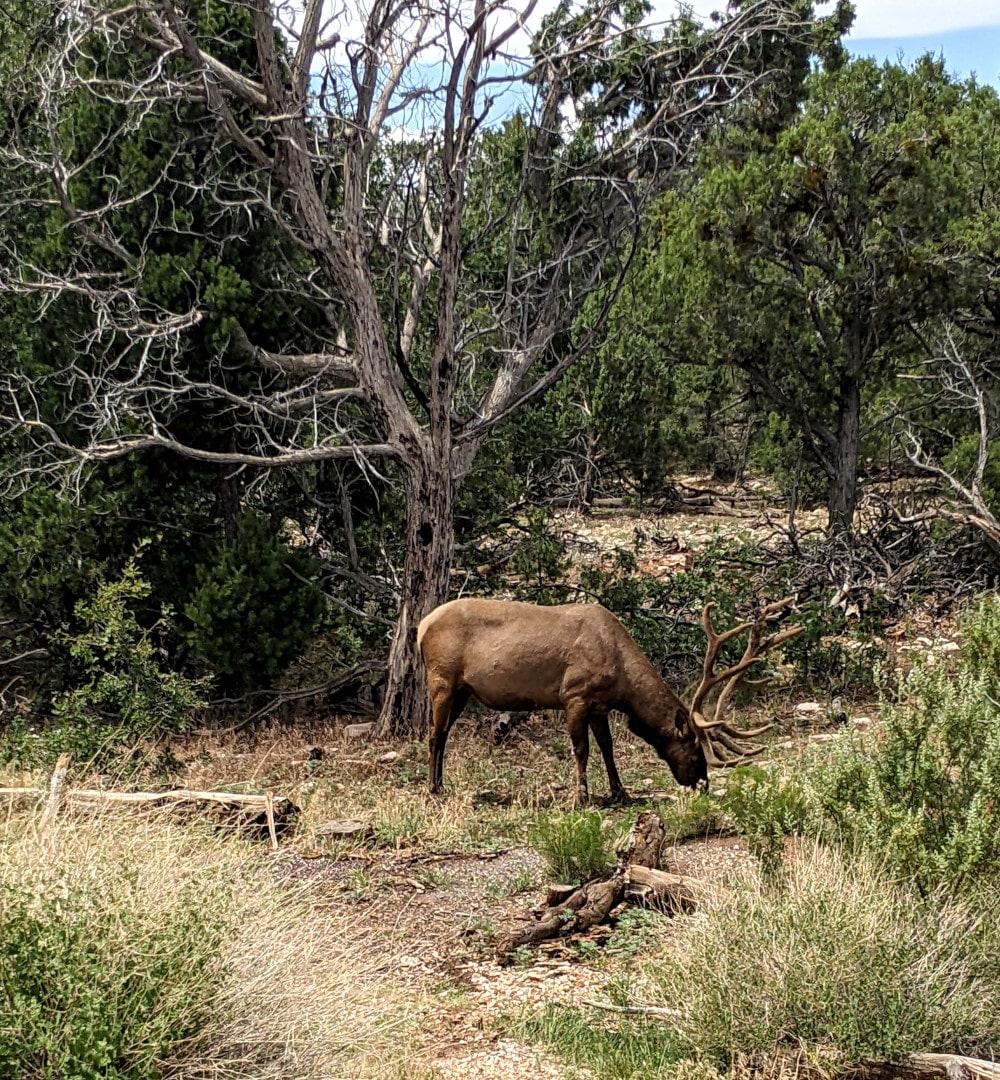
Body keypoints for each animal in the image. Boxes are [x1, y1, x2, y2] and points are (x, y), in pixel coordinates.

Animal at [418, 596, 803, 805]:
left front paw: (620, 792)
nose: (703, 784)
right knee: (434, 734)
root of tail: (421, 626)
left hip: (463, 691)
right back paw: (434, 788)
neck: (622, 681)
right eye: (695, 750)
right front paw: (581, 797)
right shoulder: (574, 694)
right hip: (442, 679)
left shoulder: (599, 705)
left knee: (444, 734)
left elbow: (607, 747)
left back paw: (440, 783)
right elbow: (581, 749)